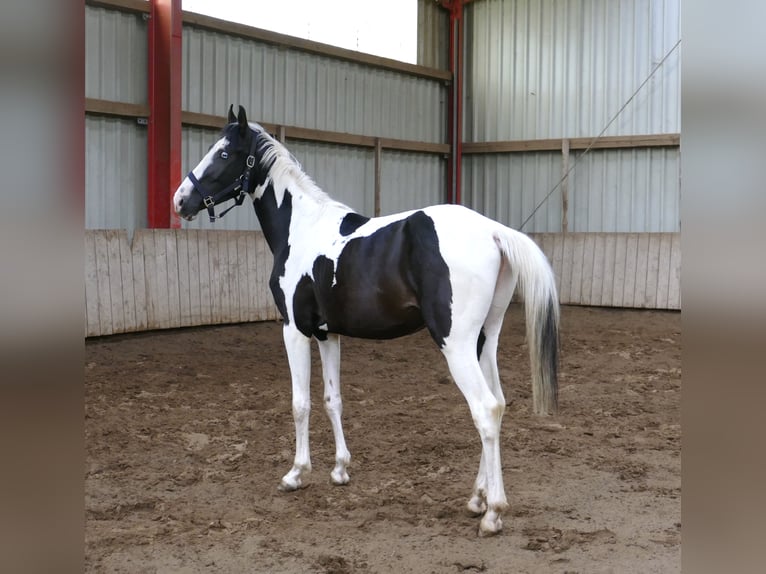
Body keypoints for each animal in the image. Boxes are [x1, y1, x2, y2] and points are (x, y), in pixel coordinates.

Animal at [173, 105, 560, 536]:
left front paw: (296, 474)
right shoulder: (328, 335)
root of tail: (493, 231)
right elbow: (332, 400)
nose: (180, 200)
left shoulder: (294, 330)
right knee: (499, 404)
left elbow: (300, 403)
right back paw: (477, 498)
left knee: (485, 410)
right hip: (483, 342)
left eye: (224, 154)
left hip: (456, 345)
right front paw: (340, 470)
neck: (302, 227)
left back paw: (493, 513)